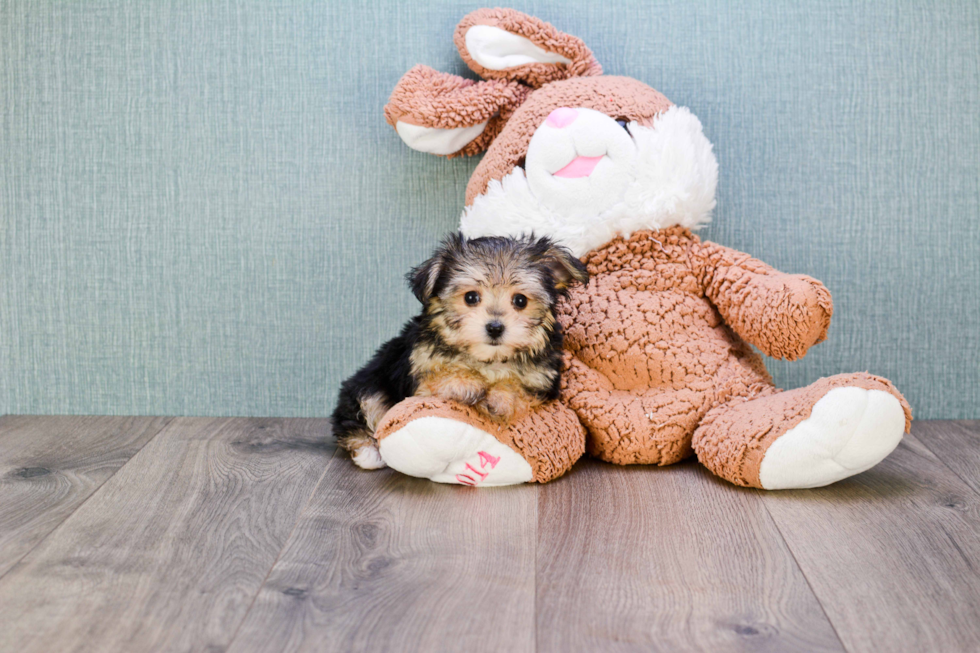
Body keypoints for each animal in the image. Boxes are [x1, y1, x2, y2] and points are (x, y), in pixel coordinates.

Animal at [330, 233, 588, 468]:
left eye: (520, 301)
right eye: (471, 297)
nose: (495, 327)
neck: (488, 359)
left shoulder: (543, 381)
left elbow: (522, 388)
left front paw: (501, 396)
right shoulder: (419, 372)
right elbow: (437, 376)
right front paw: (466, 382)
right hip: (369, 383)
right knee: (356, 415)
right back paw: (368, 452)